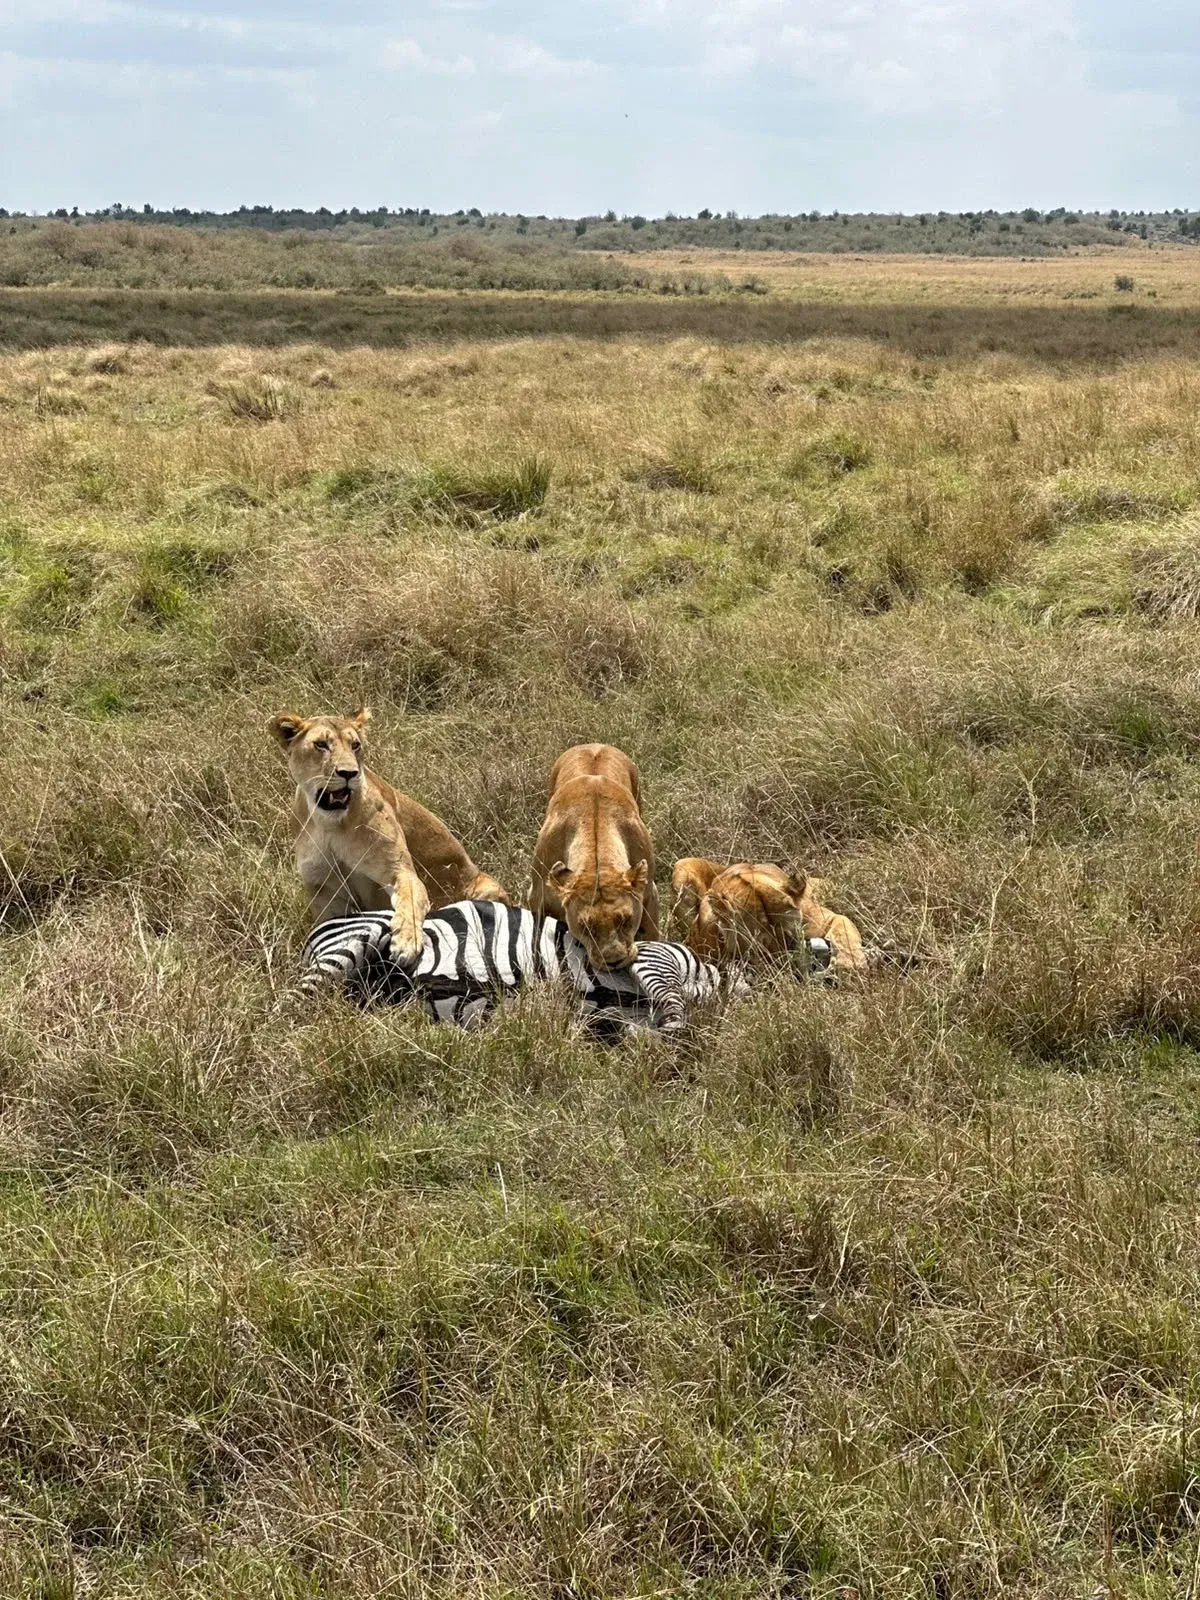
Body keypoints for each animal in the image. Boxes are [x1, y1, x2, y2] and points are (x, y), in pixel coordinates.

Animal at [269, 707, 509, 961]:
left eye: (355, 745)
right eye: (321, 744)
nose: (349, 773)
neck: (330, 826)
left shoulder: (398, 870)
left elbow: (409, 902)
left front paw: (405, 943)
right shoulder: (324, 890)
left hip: (485, 889)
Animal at [530, 743, 659, 971]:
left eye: (625, 920)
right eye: (586, 927)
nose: (614, 961)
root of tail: (594, 745)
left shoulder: (650, 892)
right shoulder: (536, 895)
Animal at [671, 858, 867, 973]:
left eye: (791, 938)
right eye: (762, 948)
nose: (795, 970)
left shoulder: (824, 919)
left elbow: (843, 927)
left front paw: (849, 963)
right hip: (682, 868)